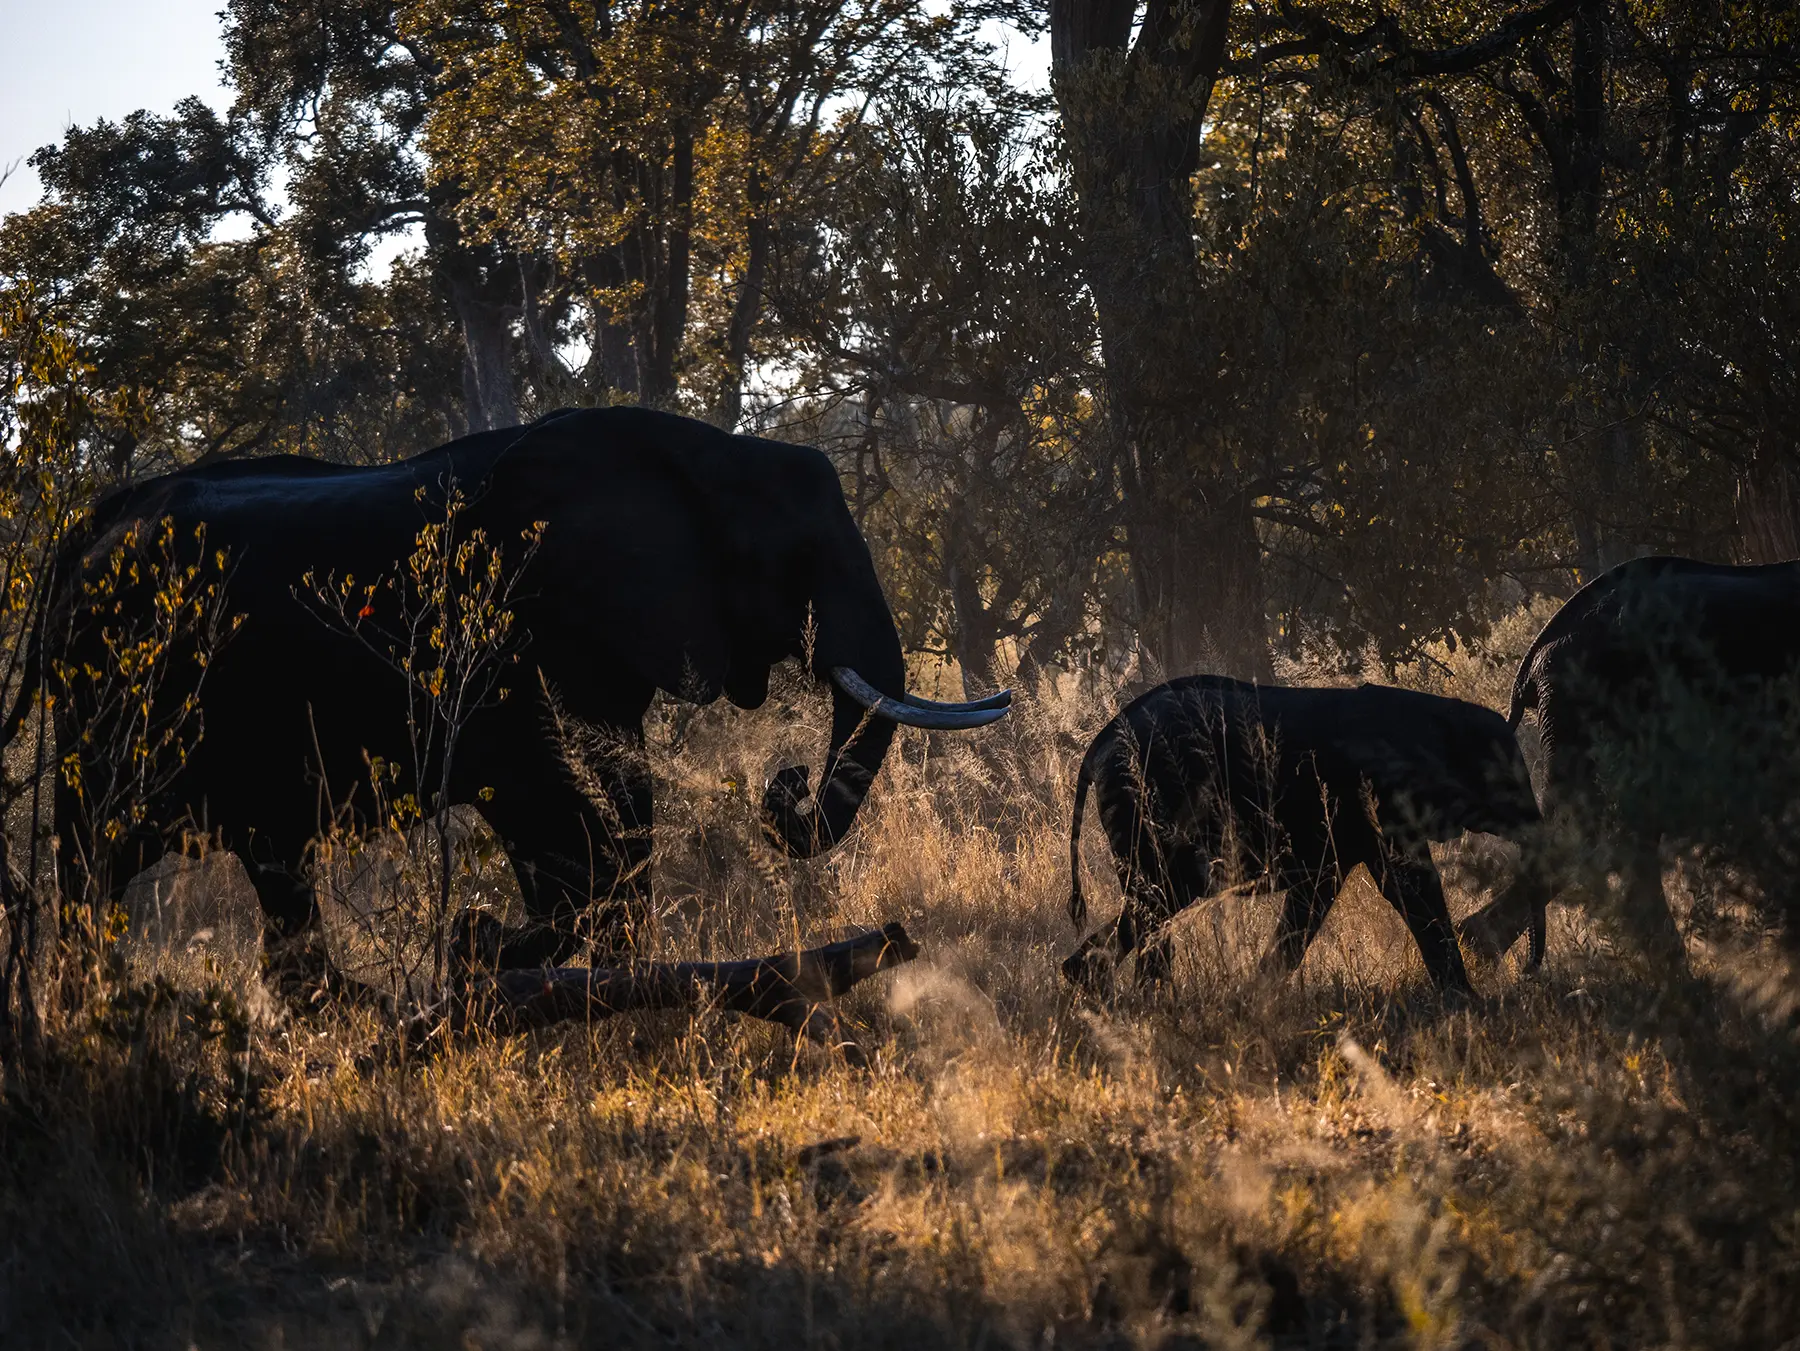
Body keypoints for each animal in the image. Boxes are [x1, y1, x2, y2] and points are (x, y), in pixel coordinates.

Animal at [9, 407, 1009, 997]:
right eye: (800, 561)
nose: (785, 784)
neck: (703, 456)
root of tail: (82, 527)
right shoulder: (527, 643)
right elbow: (555, 814)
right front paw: (482, 948)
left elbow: (625, 807)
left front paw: (599, 984)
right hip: (109, 690)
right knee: (96, 850)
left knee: (261, 860)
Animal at [1063, 676, 1551, 1002]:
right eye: (1507, 784)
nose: (1530, 973)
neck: (1437, 713)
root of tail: (1099, 743)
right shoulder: (1377, 797)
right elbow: (1409, 884)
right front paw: (1469, 1003)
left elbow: (1332, 888)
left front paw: (1258, 992)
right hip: (1145, 803)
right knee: (1159, 897)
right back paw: (1139, 997)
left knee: (1152, 903)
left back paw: (1102, 987)